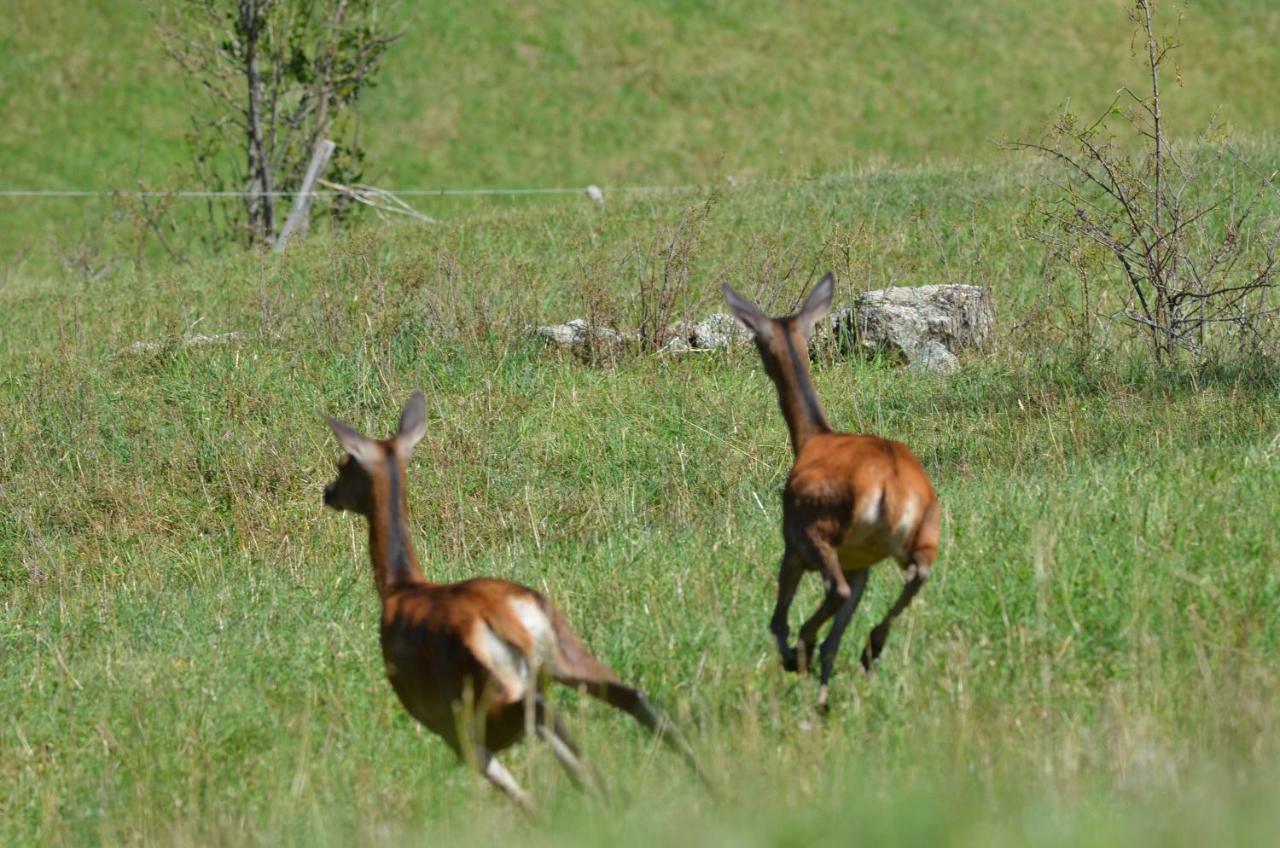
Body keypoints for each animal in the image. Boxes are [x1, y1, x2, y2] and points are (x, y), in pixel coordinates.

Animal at [322, 391, 711, 819]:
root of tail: (507, 619)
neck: (400, 587)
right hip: (565, 654)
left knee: (545, 718)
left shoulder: (447, 725)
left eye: (344, 463)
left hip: (492, 695)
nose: (328, 492)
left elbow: (525, 797)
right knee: (631, 697)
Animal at [721, 275, 942, 712]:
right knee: (914, 576)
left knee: (830, 592)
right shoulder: (861, 564)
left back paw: (804, 649)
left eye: (756, 339)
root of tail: (892, 486)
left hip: (820, 533)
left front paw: (794, 658)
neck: (812, 438)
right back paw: (868, 651)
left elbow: (778, 618)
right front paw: (823, 694)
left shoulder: (792, 542)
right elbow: (836, 636)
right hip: (922, 535)